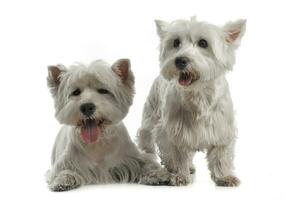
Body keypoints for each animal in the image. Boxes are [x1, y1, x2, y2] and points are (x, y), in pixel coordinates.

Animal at [46, 58, 170, 191]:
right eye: (76, 92)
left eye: (103, 91)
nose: (87, 107)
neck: (98, 143)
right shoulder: (67, 162)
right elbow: (64, 171)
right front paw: (62, 180)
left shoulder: (133, 157)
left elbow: (147, 164)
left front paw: (158, 174)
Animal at [137, 16, 245, 186]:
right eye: (176, 42)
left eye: (203, 43)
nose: (180, 60)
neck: (198, 95)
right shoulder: (172, 132)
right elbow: (178, 155)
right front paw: (180, 175)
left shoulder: (222, 129)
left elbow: (220, 156)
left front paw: (224, 177)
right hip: (151, 116)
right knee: (147, 139)